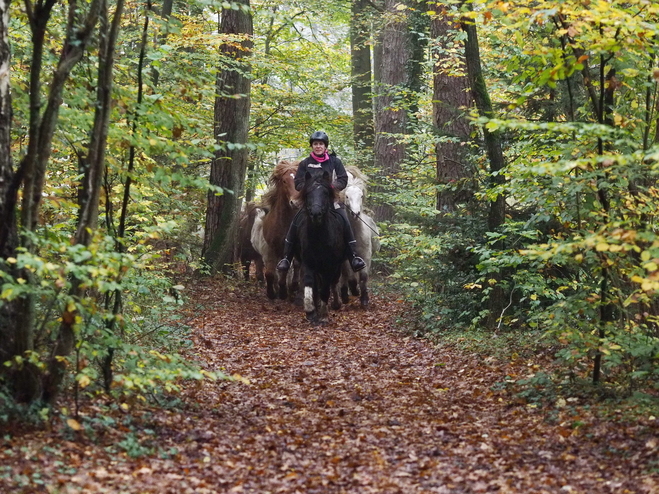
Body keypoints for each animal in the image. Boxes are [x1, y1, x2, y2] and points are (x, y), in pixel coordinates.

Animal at [255, 160, 302, 300]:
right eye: (284, 181)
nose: (296, 203)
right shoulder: (271, 248)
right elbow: (270, 273)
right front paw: (271, 292)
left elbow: (285, 270)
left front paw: (283, 292)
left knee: (295, 266)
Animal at [296, 171, 350, 324]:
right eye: (308, 192)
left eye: (325, 193)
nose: (315, 214)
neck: (319, 238)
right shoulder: (308, 263)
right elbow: (310, 285)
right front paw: (310, 310)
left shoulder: (330, 266)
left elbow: (325, 288)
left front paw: (324, 315)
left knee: (334, 281)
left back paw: (336, 303)